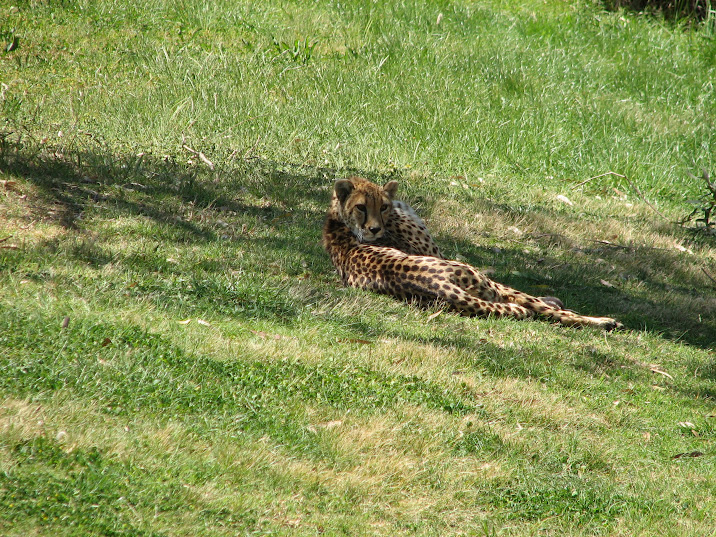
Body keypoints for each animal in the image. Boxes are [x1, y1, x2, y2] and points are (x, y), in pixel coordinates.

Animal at [322, 176, 622, 330]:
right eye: (361, 207)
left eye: (382, 206)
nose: (373, 230)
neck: (337, 221)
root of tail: (436, 286)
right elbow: (530, 297)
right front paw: (555, 301)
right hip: (477, 279)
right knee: (537, 308)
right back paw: (605, 321)